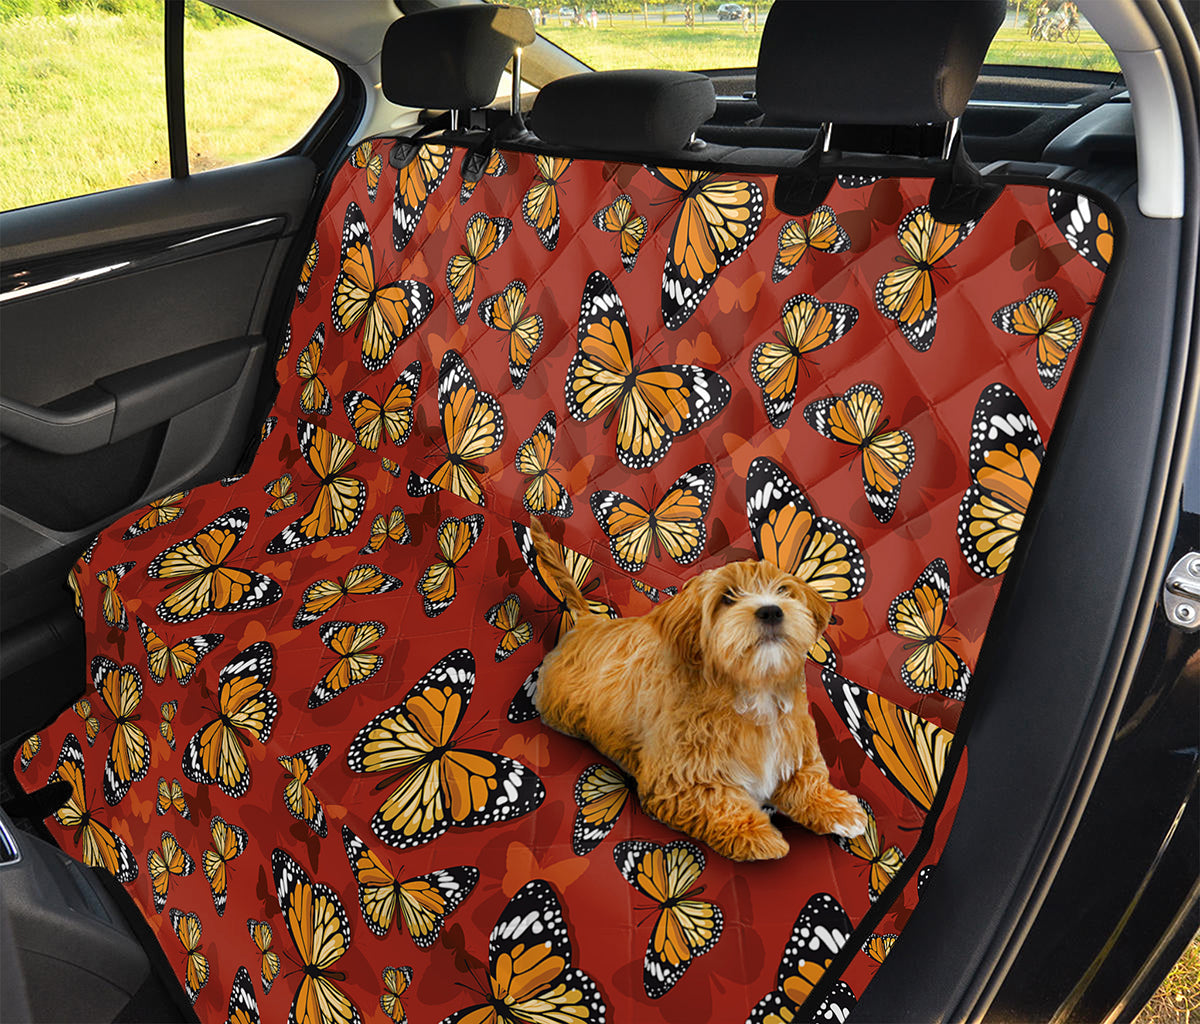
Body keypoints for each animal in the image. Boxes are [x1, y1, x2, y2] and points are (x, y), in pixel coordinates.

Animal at [525, 518, 864, 864]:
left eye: (783, 591)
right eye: (727, 597)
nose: (771, 610)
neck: (754, 693)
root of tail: (588, 623)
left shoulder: (793, 748)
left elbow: (808, 779)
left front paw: (839, 808)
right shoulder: (678, 777)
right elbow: (716, 799)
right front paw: (757, 834)